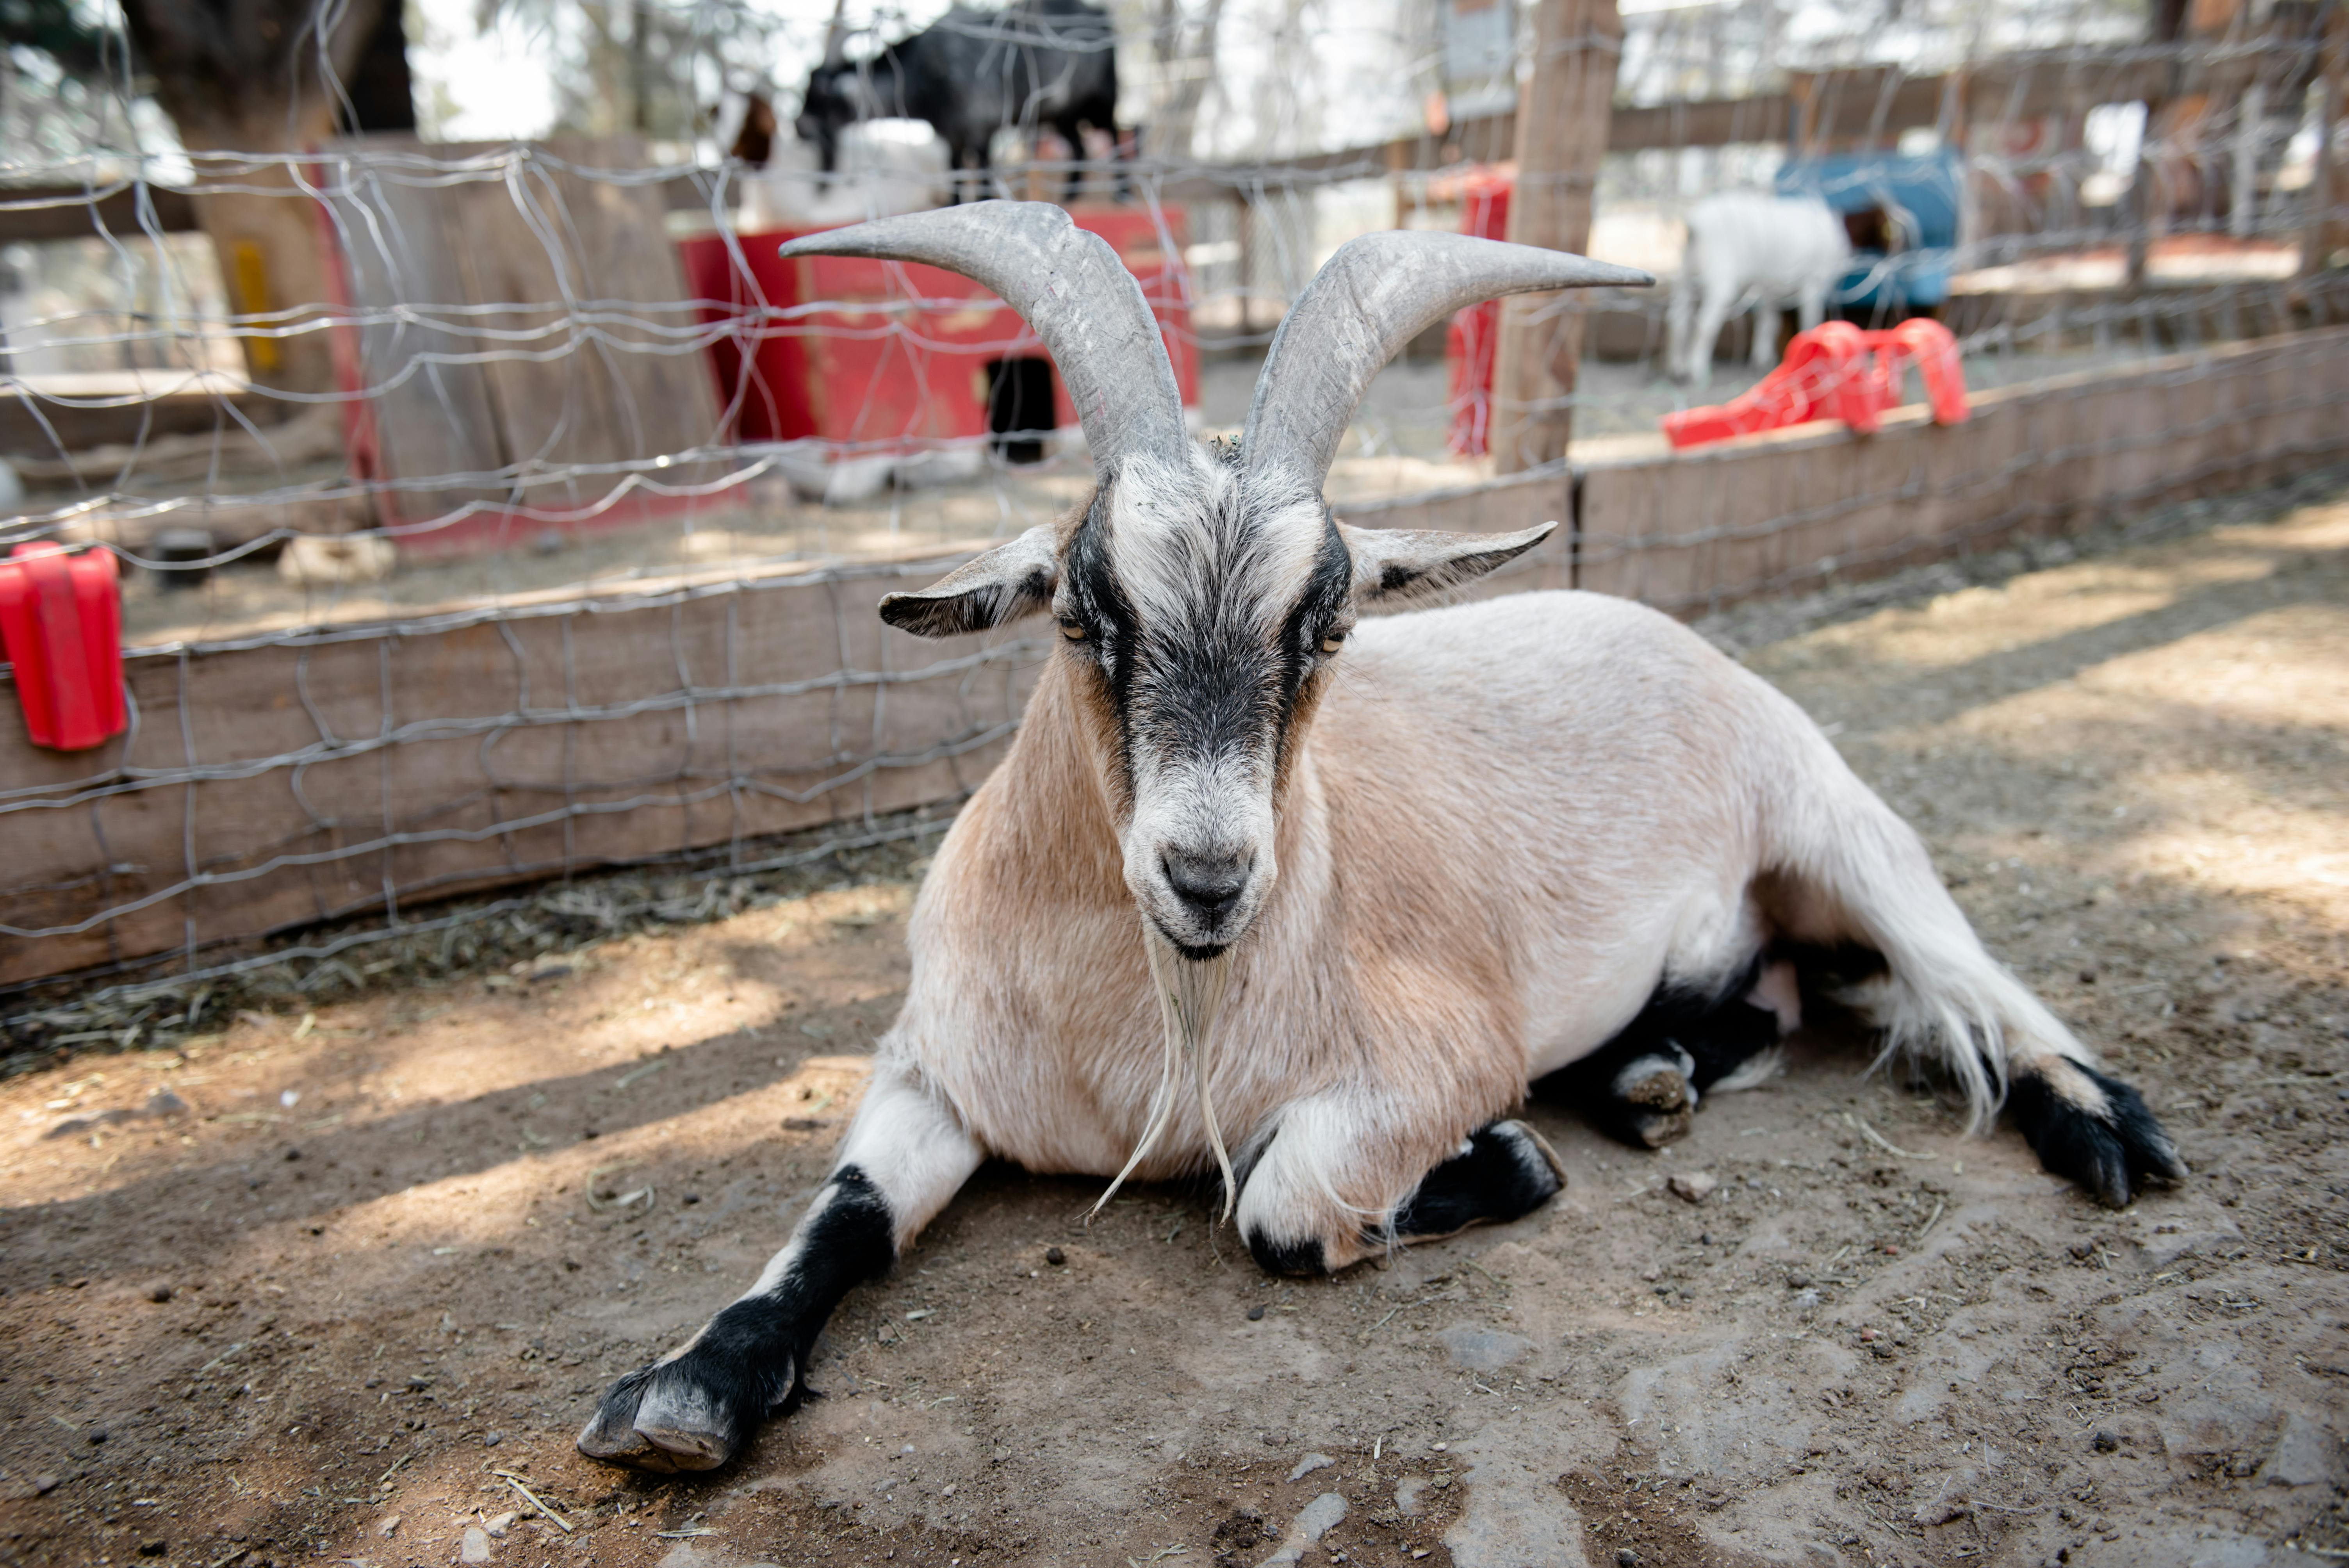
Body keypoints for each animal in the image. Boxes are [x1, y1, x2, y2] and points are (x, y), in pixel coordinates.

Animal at [794, 0, 1123, 204]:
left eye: (821, 91)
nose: (799, 126)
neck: (921, 75)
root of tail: (1100, 16)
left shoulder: (981, 130)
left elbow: (983, 175)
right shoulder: (951, 137)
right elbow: (956, 176)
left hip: (1102, 101)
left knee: (1116, 134)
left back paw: (1123, 194)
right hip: (1065, 115)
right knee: (1080, 148)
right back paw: (1070, 197)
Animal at [1672, 191, 1851, 387]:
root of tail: (1695, 224)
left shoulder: (1770, 291)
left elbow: (1769, 324)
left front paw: (1764, 361)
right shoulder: (1812, 284)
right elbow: (1809, 321)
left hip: (1685, 280)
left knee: (1679, 321)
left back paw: (1678, 370)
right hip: (1720, 282)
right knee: (1704, 325)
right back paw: (1697, 372)